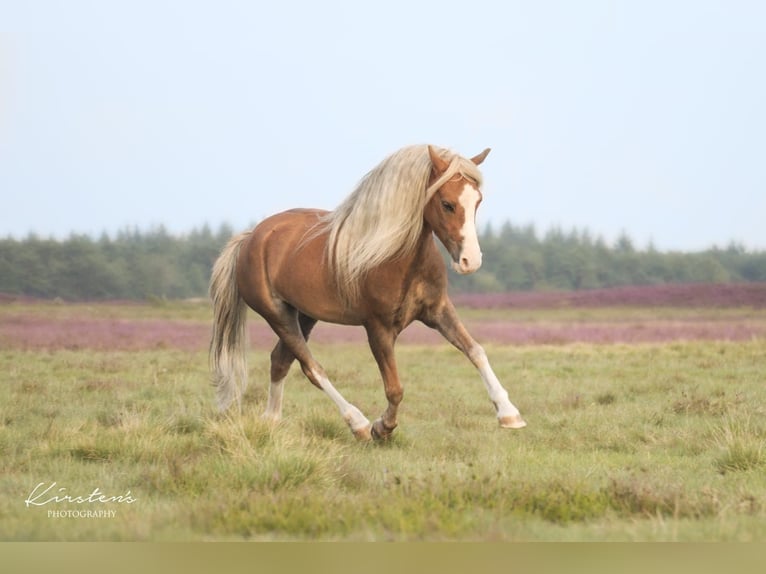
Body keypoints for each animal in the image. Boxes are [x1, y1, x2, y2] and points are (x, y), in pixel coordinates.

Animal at [209, 144, 526, 441]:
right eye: (447, 204)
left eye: (477, 201)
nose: (471, 261)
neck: (397, 256)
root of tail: (252, 237)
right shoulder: (378, 328)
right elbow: (395, 388)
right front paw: (382, 427)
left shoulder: (438, 311)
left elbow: (476, 351)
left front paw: (509, 414)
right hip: (278, 315)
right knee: (312, 368)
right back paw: (357, 423)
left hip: (304, 315)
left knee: (280, 361)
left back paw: (271, 420)